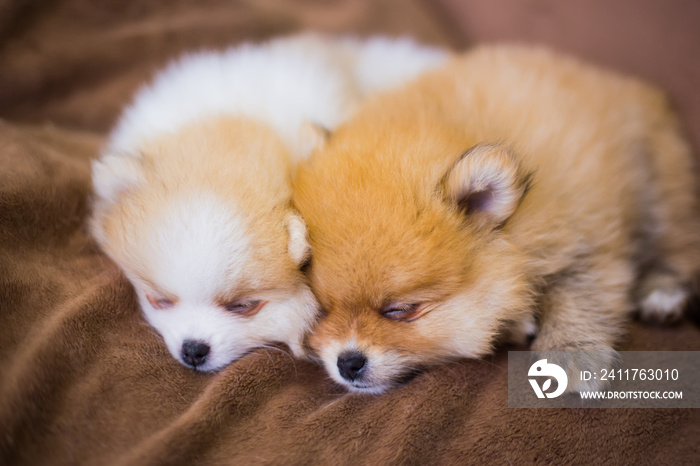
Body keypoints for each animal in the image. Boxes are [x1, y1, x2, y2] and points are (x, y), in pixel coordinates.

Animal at [296, 44, 700, 394]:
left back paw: (661, 293)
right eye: (323, 310)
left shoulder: (586, 232)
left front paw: (570, 355)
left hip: (659, 187)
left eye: (400, 310)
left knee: (676, 248)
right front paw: (518, 324)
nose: (348, 362)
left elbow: (577, 294)